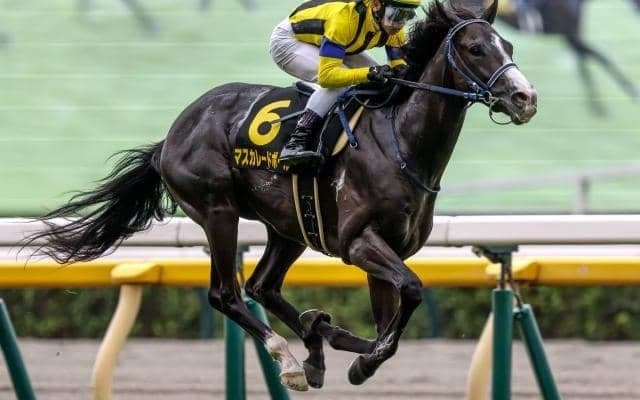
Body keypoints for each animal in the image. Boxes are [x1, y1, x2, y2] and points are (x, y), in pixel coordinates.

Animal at [26, 0, 536, 391]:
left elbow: (391, 315)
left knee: (262, 287)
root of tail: (171, 136)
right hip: (218, 211)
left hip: (288, 226)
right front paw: (360, 358)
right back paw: (291, 359)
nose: (525, 98)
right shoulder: (358, 243)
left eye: (508, 46)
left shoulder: (389, 248)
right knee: (227, 294)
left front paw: (351, 350)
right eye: (475, 48)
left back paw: (316, 337)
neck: (401, 143)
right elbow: (410, 290)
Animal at [489, 0, 640, 115]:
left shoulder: (572, 37)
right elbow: (603, 58)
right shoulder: (571, 35)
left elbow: (584, 66)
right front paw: (634, 91)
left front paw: (597, 107)